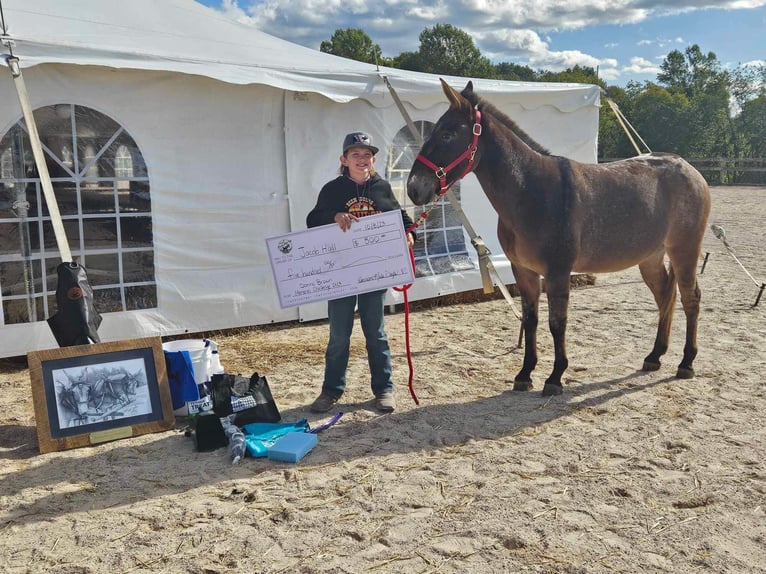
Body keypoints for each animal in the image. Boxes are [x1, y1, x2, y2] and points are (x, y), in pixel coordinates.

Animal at [408, 80, 712, 396]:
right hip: (651, 258)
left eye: (447, 133)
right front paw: (525, 374)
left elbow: (557, 323)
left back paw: (686, 362)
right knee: (666, 296)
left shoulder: (557, 272)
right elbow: (531, 319)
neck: (532, 190)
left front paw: (555, 377)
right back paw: (655, 356)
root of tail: (689, 168)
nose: (414, 188)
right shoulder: (524, 271)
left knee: (691, 298)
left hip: (685, 251)